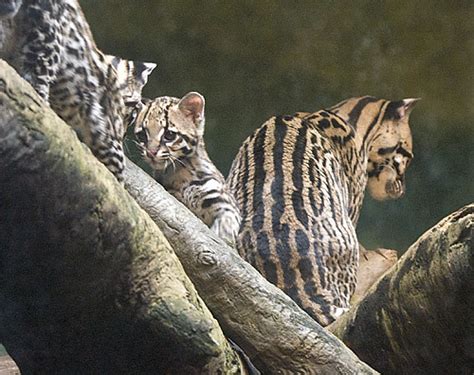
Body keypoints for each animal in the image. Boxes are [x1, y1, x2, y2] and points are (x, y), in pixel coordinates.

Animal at [132, 92, 241, 245]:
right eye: (142, 135)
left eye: (169, 135)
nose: (151, 153)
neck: (179, 171)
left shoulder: (222, 199)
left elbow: (227, 223)